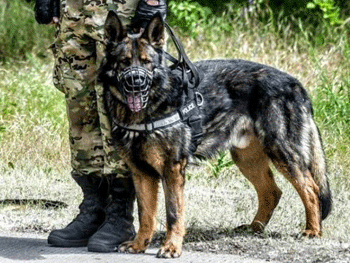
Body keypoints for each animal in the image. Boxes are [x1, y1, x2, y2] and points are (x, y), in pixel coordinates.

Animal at [98, 11, 330, 258]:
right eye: (124, 62)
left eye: (146, 62)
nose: (137, 82)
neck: (151, 106)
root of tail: (296, 83)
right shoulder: (141, 174)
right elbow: (145, 213)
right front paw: (140, 243)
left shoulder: (172, 170)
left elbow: (173, 214)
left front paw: (172, 246)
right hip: (247, 160)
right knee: (272, 192)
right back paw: (254, 228)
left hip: (282, 153)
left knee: (311, 189)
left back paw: (312, 230)